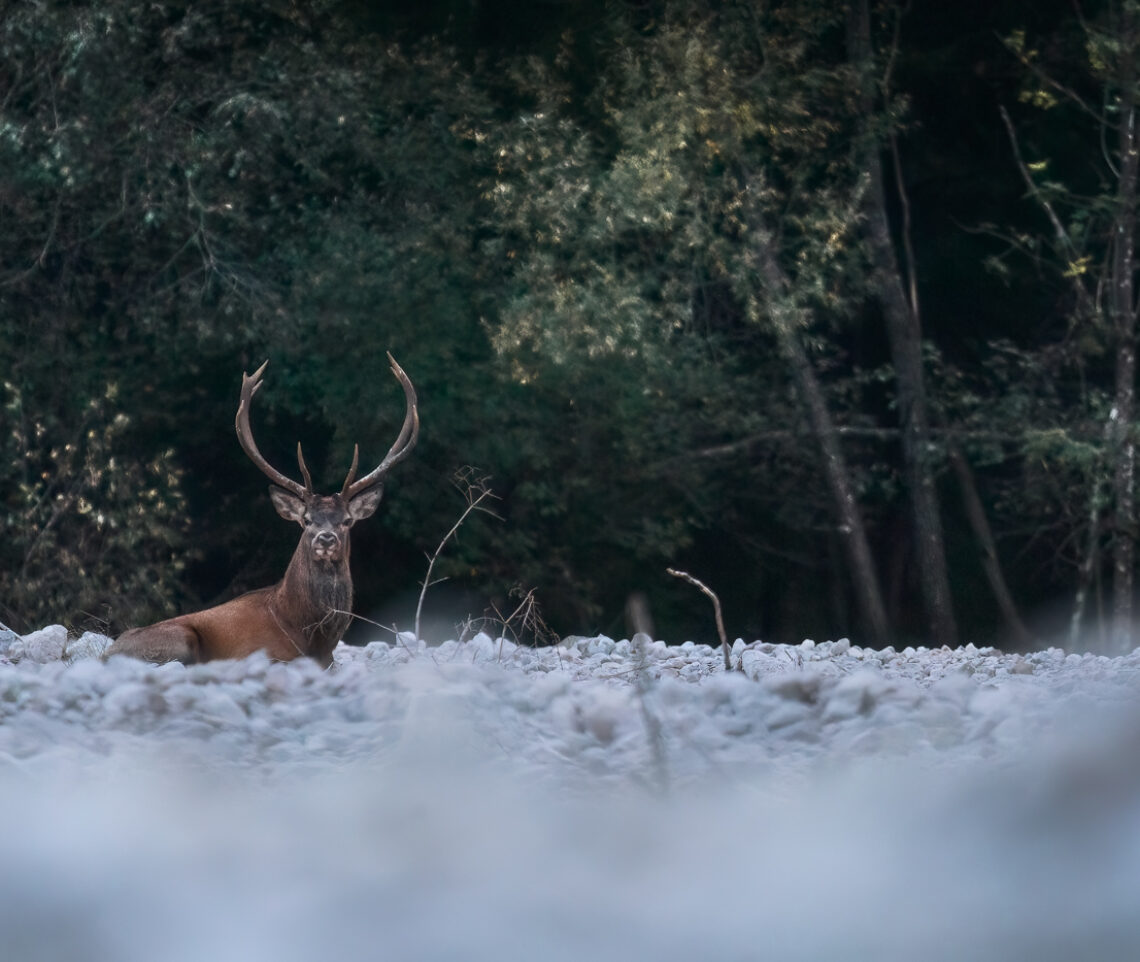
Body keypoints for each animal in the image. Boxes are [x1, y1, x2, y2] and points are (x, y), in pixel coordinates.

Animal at [106, 353, 419, 670]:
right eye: (306, 520)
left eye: (346, 521)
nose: (326, 538)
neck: (309, 635)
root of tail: (107, 652)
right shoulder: (254, 653)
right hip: (179, 639)